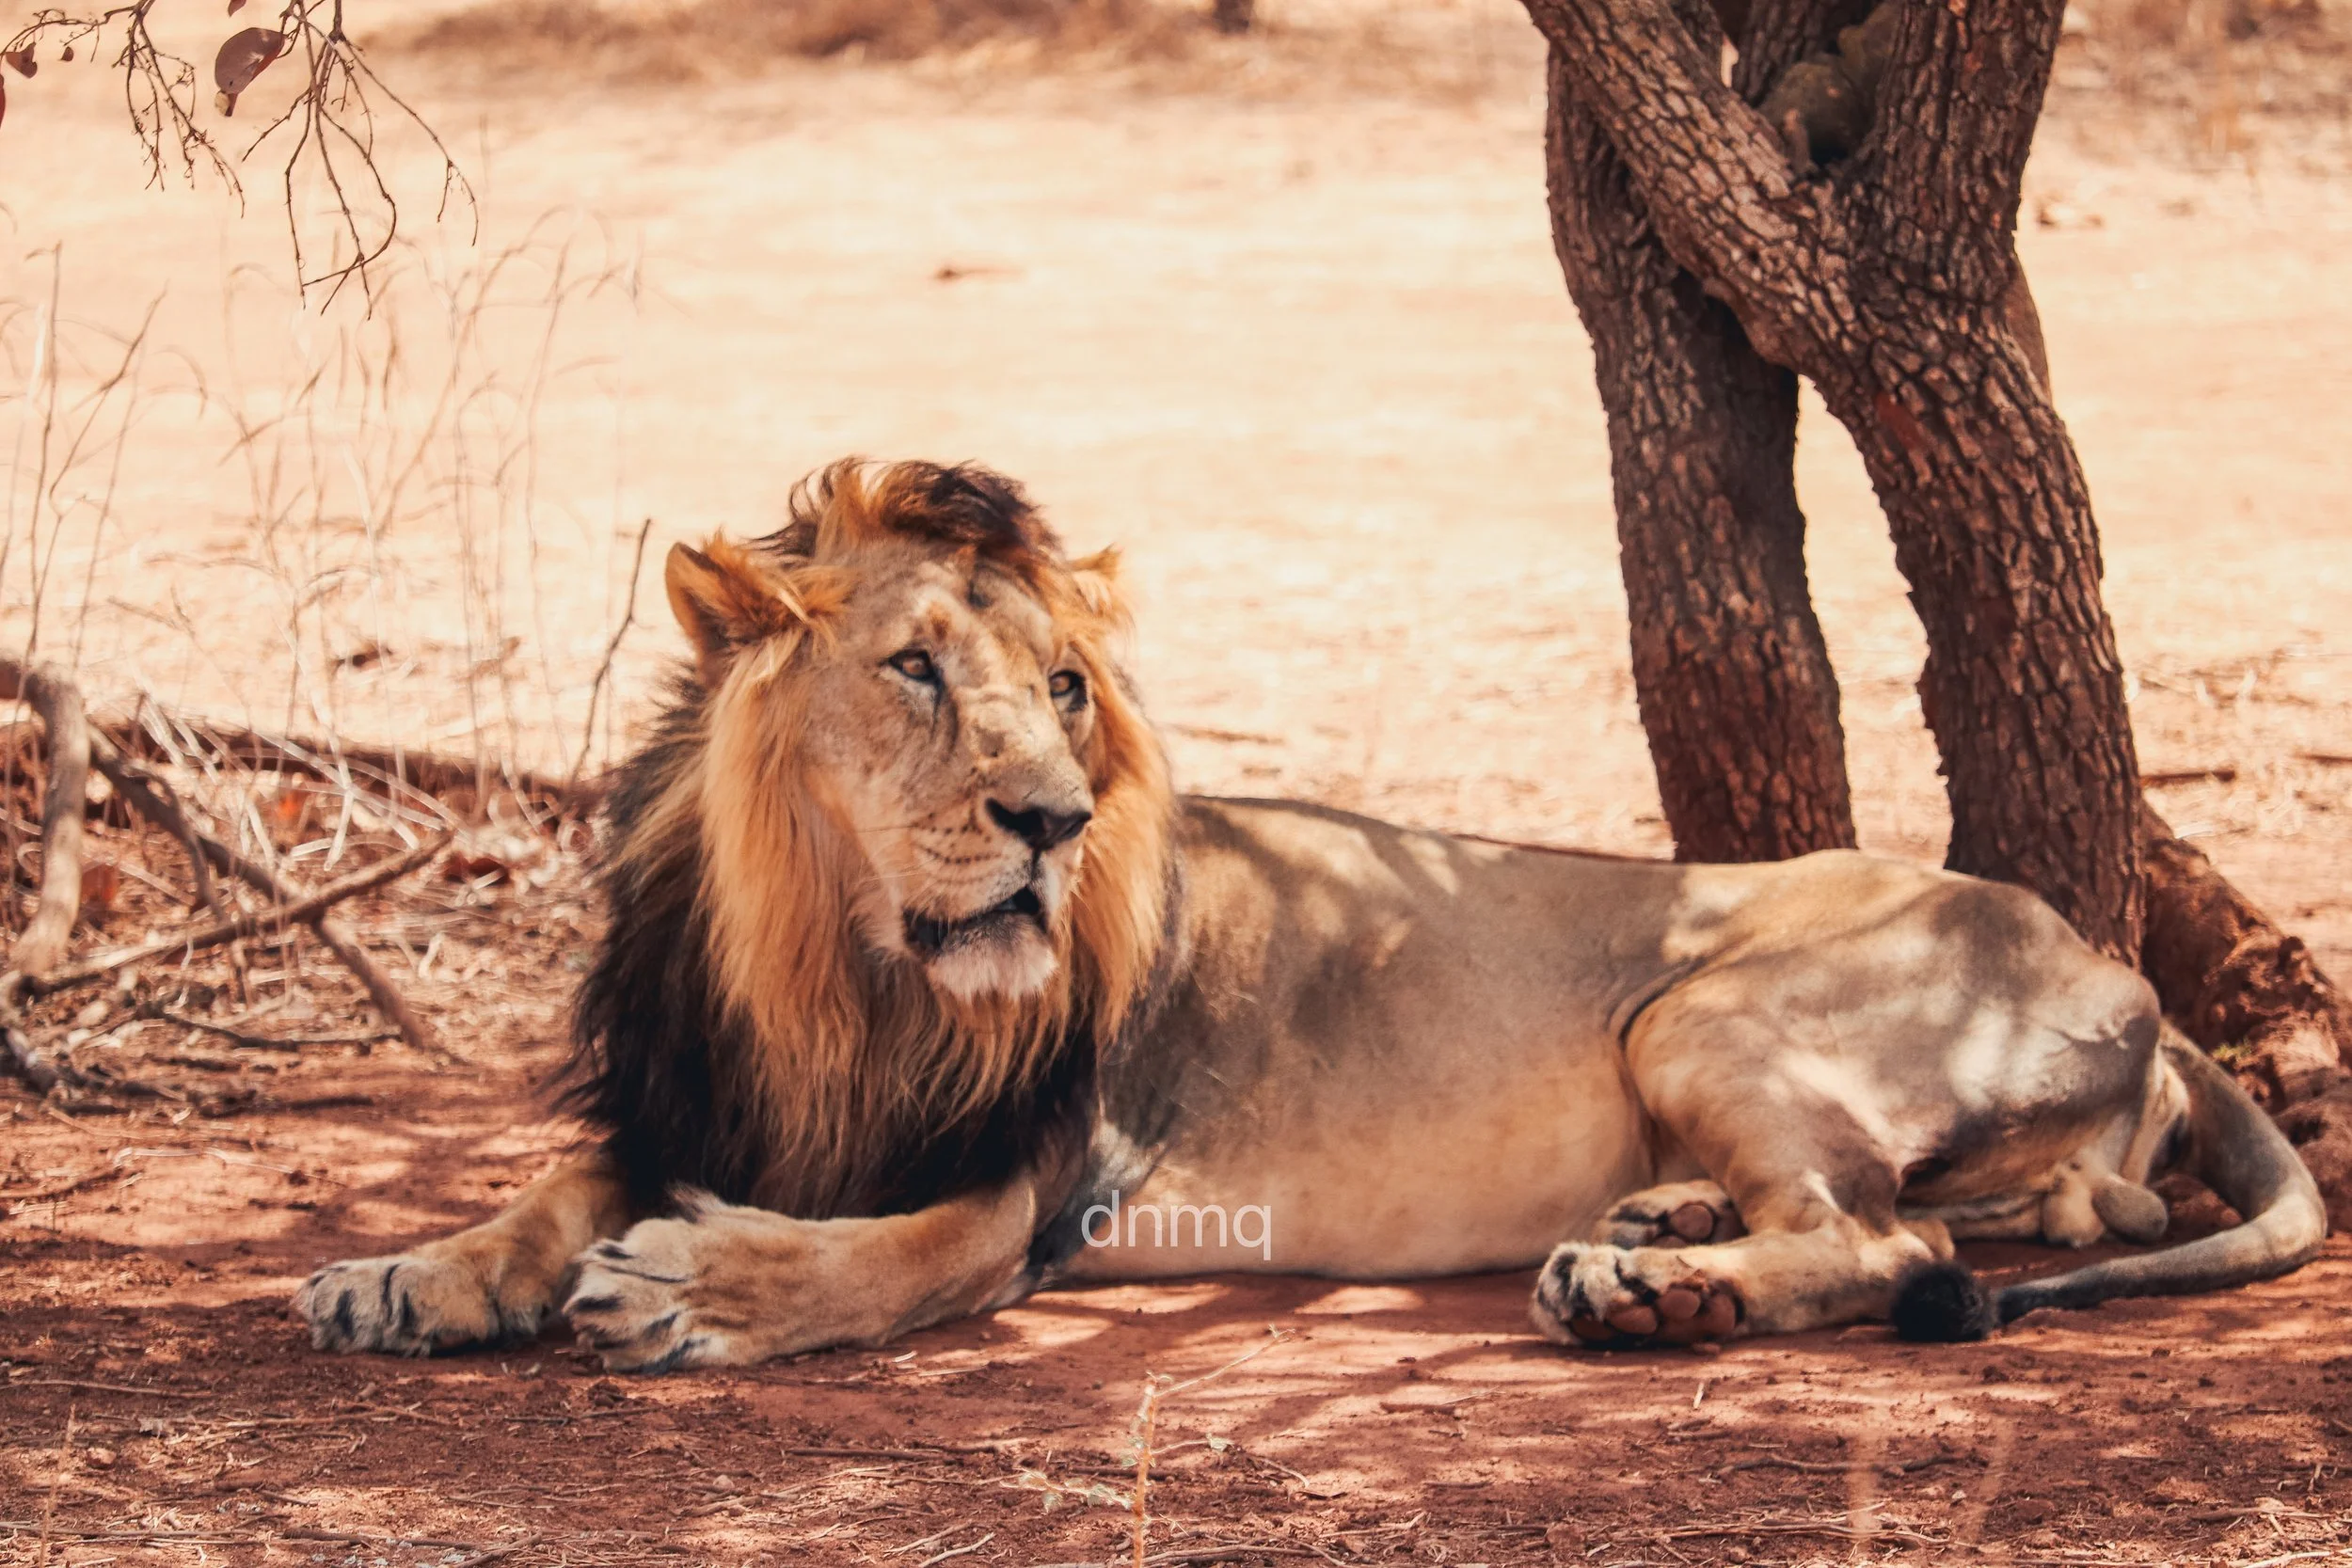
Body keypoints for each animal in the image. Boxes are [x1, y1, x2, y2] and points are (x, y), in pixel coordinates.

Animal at [296, 458, 2324, 1370]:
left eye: (1067, 689)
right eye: (917, 670)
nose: (1051, 819)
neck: (834, 972)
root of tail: (2122, 962)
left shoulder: (1038, 1178)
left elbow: (873, 1256)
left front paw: (697, 1284)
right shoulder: (688, 1088)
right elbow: (558, 1180)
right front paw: (409, 1271)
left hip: (1703, 1001)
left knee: (1896, 1235)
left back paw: (1650, 1284)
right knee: (2017, 1203)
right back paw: (1659, 1219)